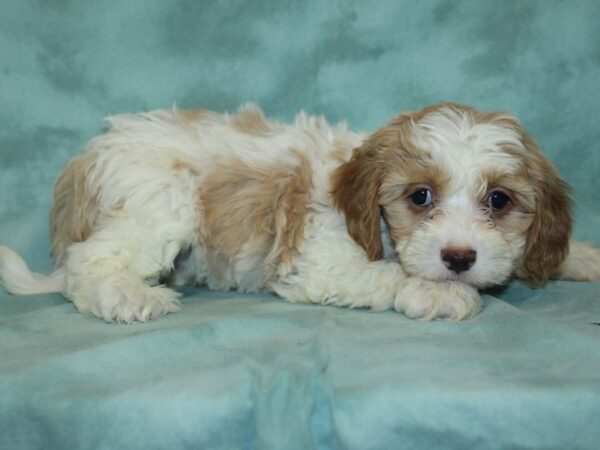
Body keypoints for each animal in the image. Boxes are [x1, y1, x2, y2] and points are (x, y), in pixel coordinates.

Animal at [1, 103, 600, 322]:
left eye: (499, 200)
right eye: (420, 197)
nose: (458, 258)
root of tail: (87, 159)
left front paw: (581, 258)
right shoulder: (321, 262)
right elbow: (385, 274)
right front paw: (442, 292)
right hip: (163, 202)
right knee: (90, 265)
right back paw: (129, 296)